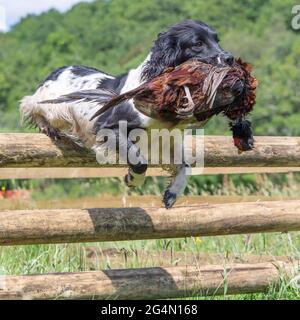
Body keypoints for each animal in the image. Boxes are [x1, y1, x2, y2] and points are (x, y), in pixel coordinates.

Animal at [19, 20, 252, 210]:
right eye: (197, 44)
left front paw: (171, 194)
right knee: (31, 103)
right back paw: (48, 127)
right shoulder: (109, 129)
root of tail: (59, 69)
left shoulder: (165, 140)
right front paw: (132, 179)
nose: (230, 58)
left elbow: (185, 166)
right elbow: (140, 162)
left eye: (217, 40)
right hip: (52, 104)